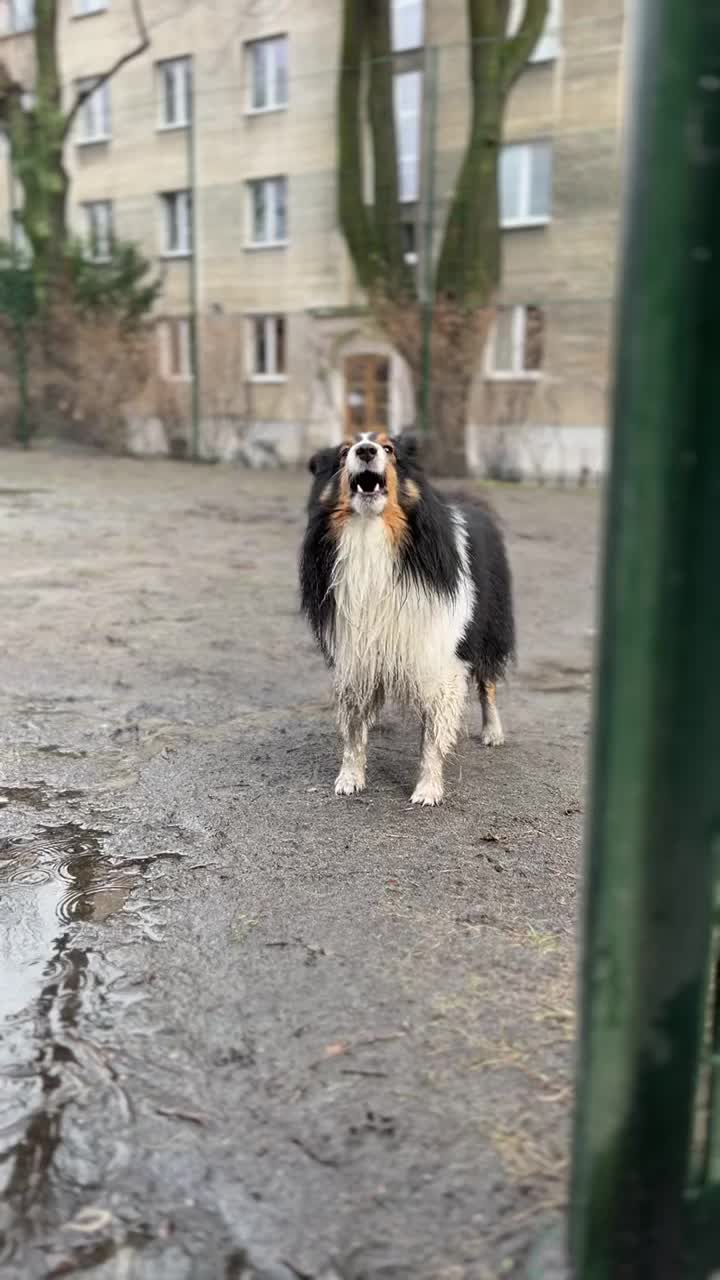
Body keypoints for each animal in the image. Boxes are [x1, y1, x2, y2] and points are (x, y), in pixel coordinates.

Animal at [299, 435, 512, 803]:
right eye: (343, 452)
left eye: (389, 450)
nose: (365, 450)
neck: (371, 536)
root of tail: (472, 503)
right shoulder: (356, 656)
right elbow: (353, 728)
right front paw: (349, 778)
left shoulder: (440, 659)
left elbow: (432, 736)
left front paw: (427, 789)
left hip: (487, 630)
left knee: (488, 684)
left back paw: (492, 732)